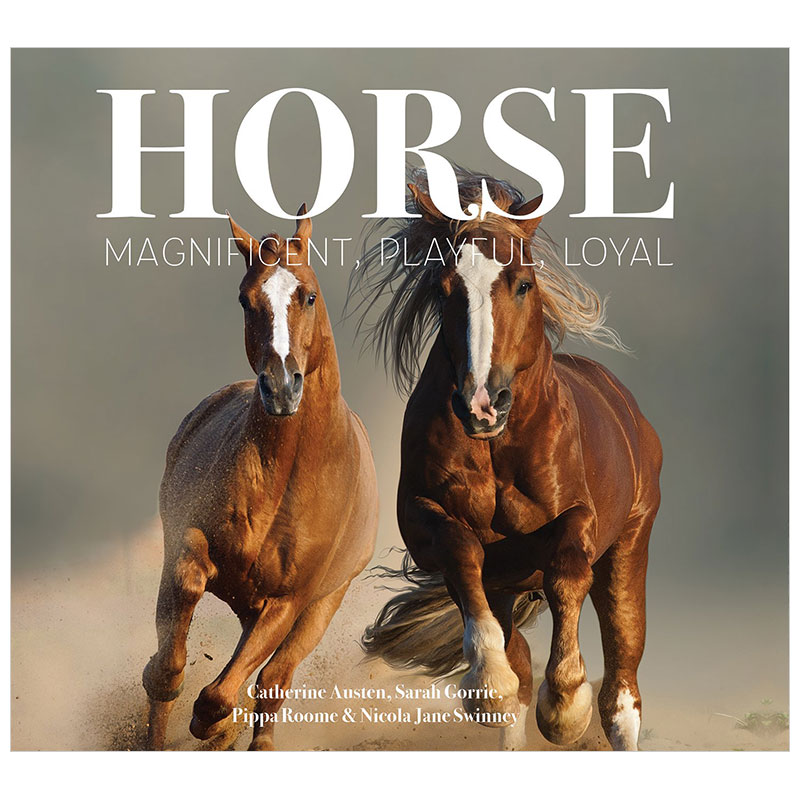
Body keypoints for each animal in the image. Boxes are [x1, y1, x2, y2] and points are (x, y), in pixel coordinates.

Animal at [142, 209, 379, 750]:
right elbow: (171, 653)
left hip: (321, 607)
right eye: (246, 300)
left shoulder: (288, 602)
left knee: (273, 681)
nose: (282, 386)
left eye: (308, 294)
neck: (284, 478)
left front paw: (216, 725)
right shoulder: (189, 542)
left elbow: (223, 695)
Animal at [354, 168, 662, 751]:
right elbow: (462, 554)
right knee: (516, 666)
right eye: (444, 288)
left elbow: (567, 569)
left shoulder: (579, 520)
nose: (481, 403)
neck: (499, 447)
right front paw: (489, 683)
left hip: (628, 551)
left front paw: (564, 705)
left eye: (522, 283)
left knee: (622, 697)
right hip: (506, 586)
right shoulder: (428, 522)